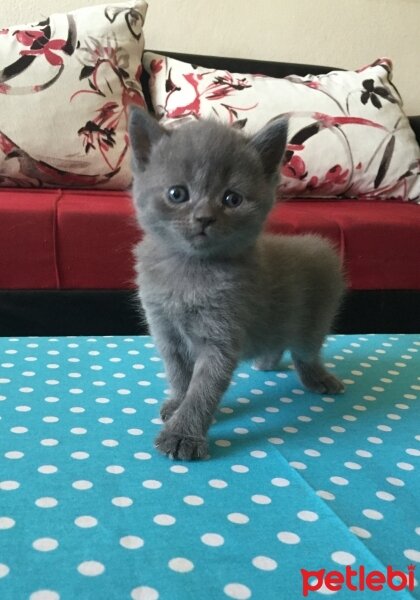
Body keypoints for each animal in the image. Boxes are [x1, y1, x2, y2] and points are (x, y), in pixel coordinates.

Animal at [129, 106, 344, 460]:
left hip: (316, 318)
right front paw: (177, 404)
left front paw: (183, 434)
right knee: (277, 340)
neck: (190, 271)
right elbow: (179, 374)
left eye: (232, 199)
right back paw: (266, 362)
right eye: (177, 194)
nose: (203, 218)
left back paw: (320, 379)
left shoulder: (221, 336)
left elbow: (203, 388)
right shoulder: (166, 331)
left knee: (306, 353)